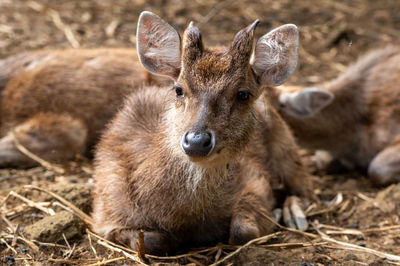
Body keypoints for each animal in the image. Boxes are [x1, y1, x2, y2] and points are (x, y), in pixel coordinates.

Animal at [90, 10, 312, 256]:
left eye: (243, 94)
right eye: (178, 89)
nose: (196, 141)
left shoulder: (254, 178)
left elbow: (243, 230)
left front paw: (272, 213)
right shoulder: (104, 211)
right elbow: (151, 241)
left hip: (286, 143)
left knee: (305, 186)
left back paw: (294, 215)